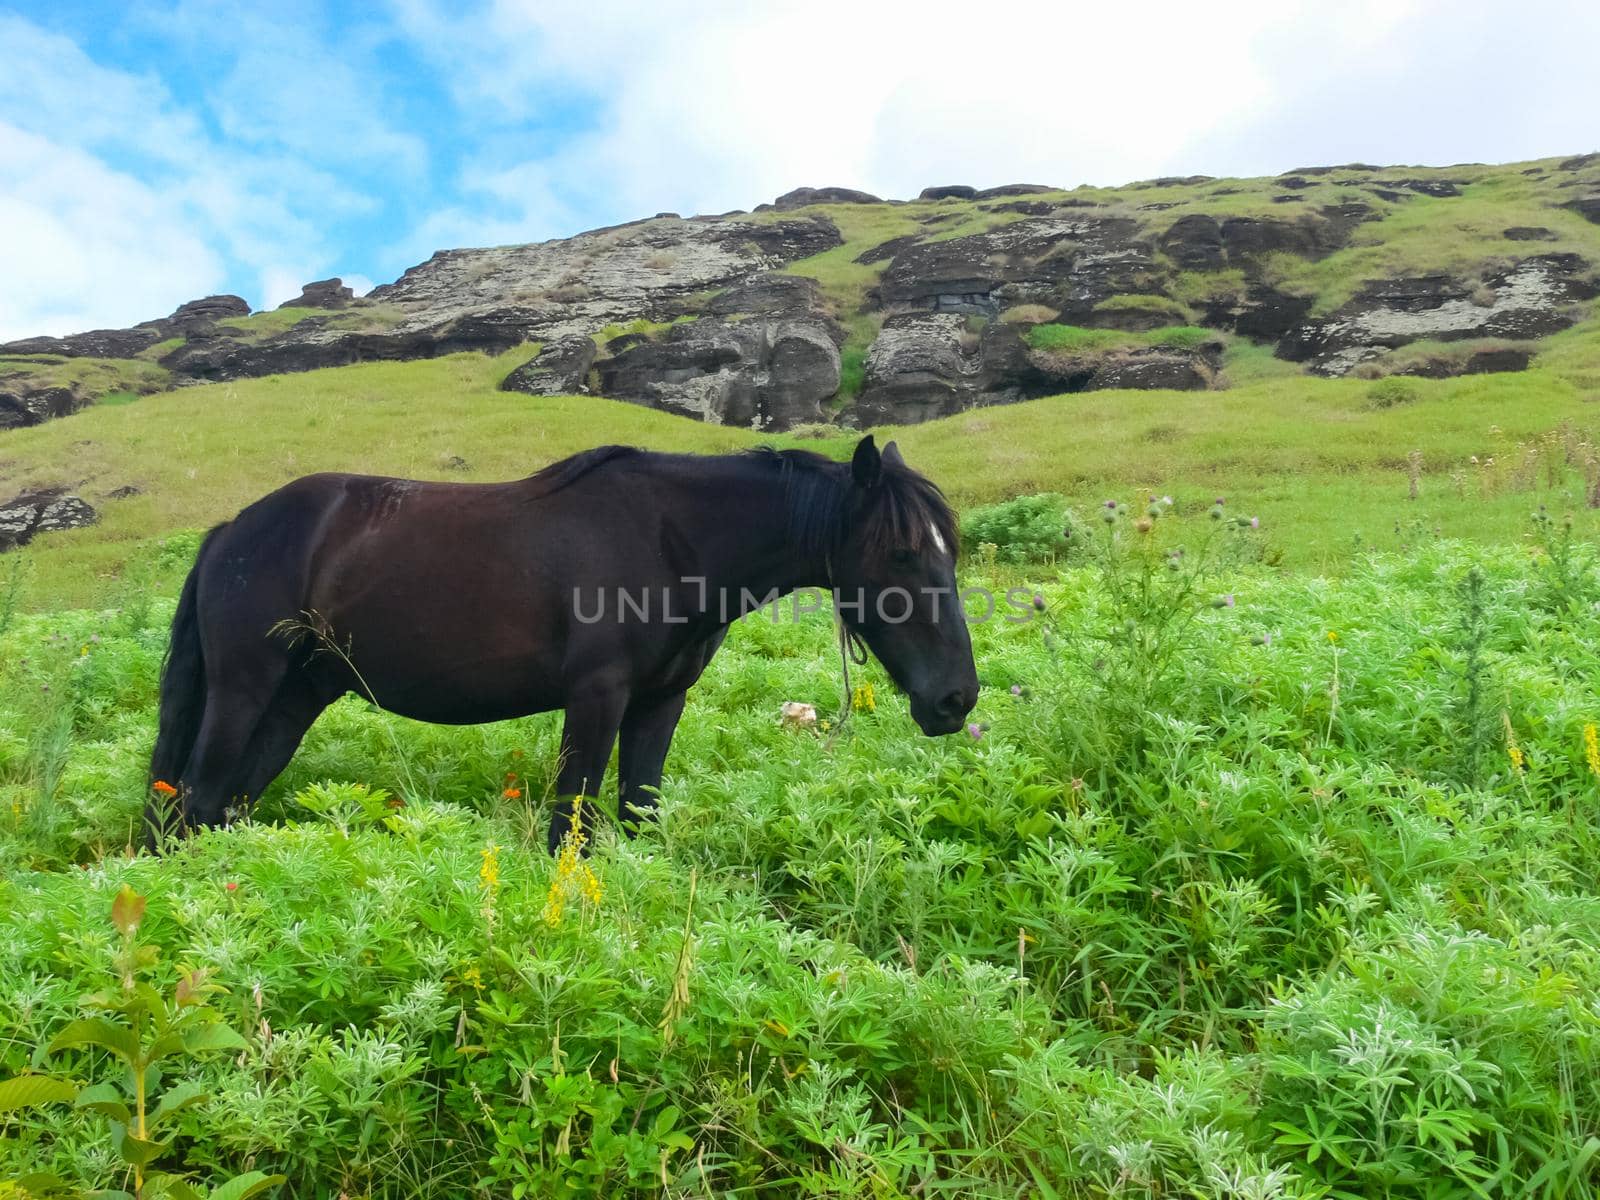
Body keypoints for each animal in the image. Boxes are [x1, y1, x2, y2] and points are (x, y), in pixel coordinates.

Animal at [150, 438, 979, 851]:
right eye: (902, 553)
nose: (955, 699)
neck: (671, 540)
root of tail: (231, 531)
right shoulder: (596, 698)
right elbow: (568, 829)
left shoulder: (659, 704)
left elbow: (638, 815)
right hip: (244, 691)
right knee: (197, 800)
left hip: (297, 698)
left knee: (222, 806)